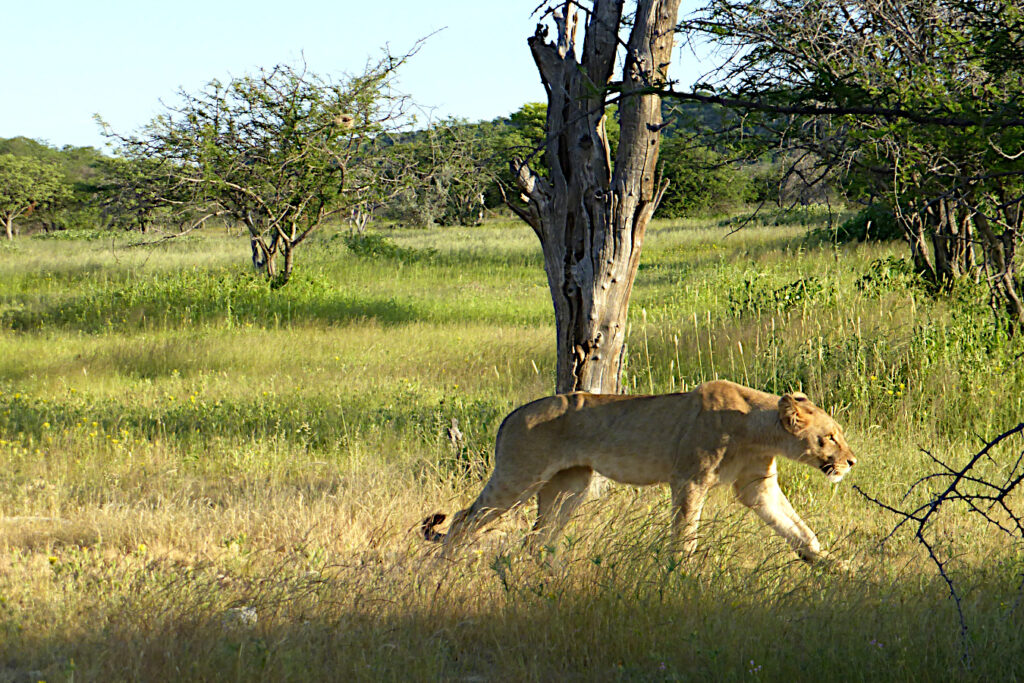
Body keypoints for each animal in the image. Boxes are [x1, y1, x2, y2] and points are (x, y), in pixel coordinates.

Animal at [422, 380, 856, 563]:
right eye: (831, 437)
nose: (851, 462)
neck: (761, 430)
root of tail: (510, 416)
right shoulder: (690, 479)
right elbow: (685, 534)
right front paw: (681, 574)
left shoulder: (757, 486)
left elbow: (799, 529)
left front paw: (830, 565)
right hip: (520, 478)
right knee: (462, 520)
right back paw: (443, 569)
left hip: (569, 487)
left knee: (538, 538)